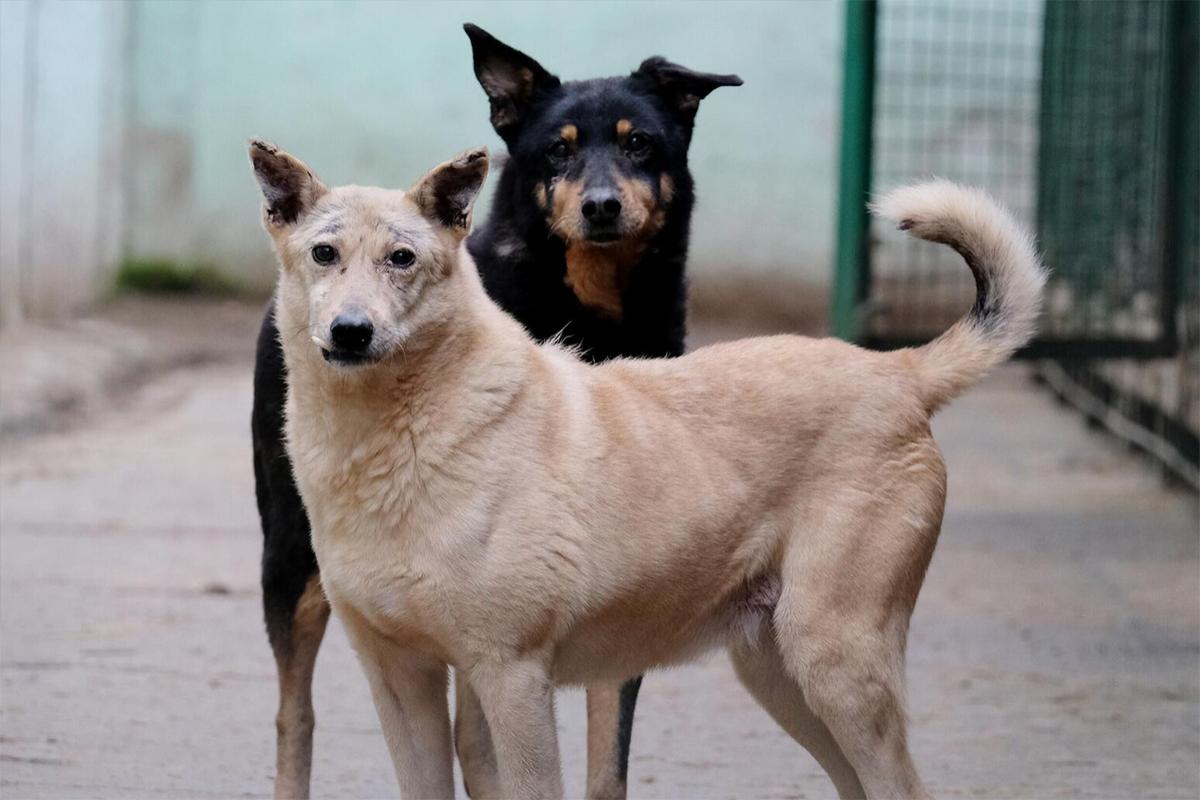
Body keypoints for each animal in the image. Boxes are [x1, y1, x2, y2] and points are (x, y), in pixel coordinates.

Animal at [250, 140, 1041, 796]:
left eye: (402, 259)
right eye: (324, 253)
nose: (351, 332)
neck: (400, 436)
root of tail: (899, 371)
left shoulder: (511, 678)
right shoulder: (401, 680)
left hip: (837, 665)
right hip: (782, 676)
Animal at [254, 21, 739, 796]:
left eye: (640, 143)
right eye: (557, 149)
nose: (602, 205)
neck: (590, 311)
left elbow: (606, 754)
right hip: (290, 561)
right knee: (294, 713)